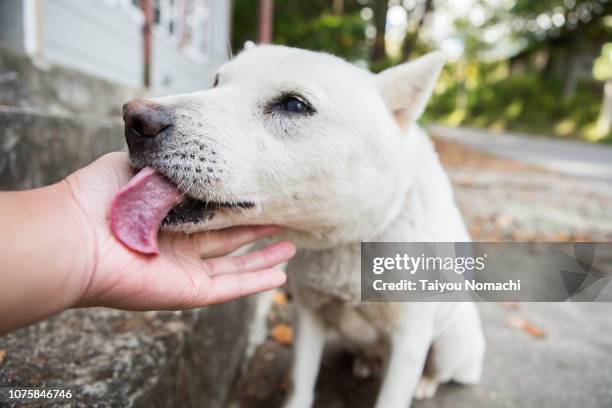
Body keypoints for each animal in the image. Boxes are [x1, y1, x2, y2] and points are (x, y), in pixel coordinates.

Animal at [120, 44, 482, 408]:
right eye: (217, 82)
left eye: (294, 104)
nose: (134, 119)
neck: (350, 240)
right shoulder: (308, 316)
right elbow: (300, 381)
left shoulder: (409, 338)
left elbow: (393, 396)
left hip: (451, 341)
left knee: (442, 370)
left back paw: (424, 383)